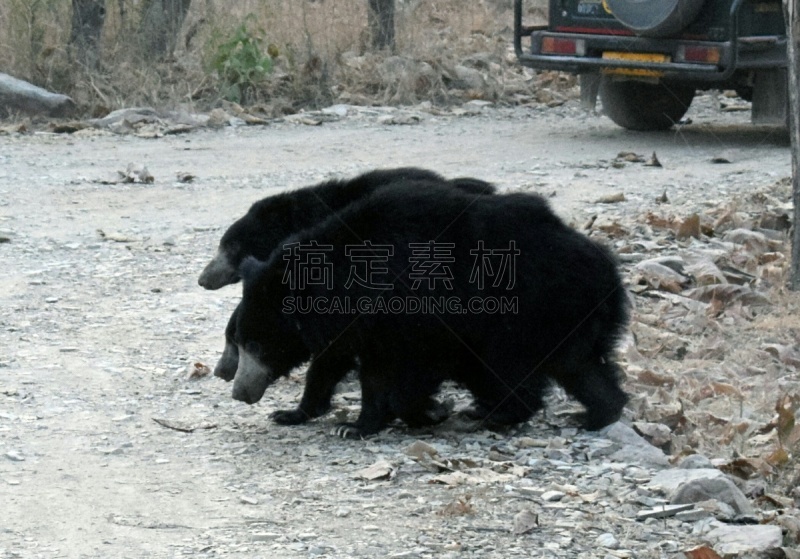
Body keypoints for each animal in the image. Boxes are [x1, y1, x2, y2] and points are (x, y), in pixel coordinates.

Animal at [228, 179, 628, 438]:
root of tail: (608, 270)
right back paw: (597, 414)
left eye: (256, 345)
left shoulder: (415, 315)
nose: (239, 392)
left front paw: (410, 415)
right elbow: (330, 363)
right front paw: (295, 413)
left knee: (510, 369)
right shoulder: (353, 326)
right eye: (240, 340)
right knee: (582, 368)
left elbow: (405, 370)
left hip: (526, 313)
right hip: (570, 319)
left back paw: (492, 414)